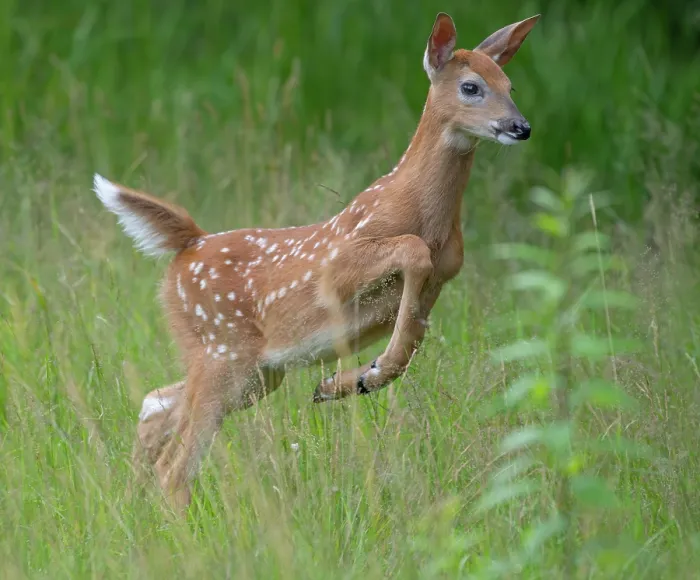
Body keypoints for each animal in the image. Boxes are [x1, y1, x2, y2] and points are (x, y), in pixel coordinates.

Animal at [93, 12, 539, 512]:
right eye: (471, 87)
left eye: (510, 85)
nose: (520, 126)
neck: (423, 214)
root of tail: (189, 244)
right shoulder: (339, 259)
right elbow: (411, 253)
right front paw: (365, 374)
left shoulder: (440, 280)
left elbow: (409, 345)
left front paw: (347, 382)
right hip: (222, 352)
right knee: (176, 466)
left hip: (256, 374)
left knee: (154, 405)